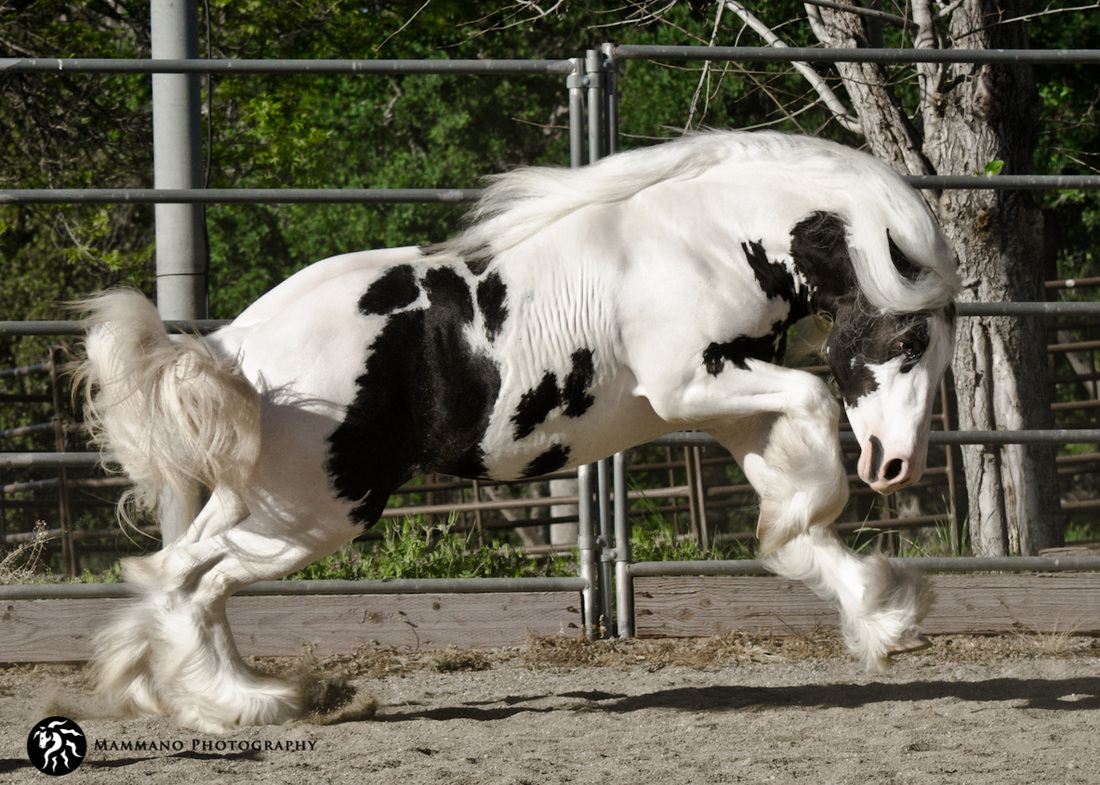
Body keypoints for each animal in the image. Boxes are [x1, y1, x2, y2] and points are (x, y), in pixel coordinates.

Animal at [79, 131, 954, 730]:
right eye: (911, 340)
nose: (898, 465)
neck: (706, 239)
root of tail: (236, 346)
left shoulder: (731, 403)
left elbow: (795, 517)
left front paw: (885, 616)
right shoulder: (692, 385)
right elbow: (814, 410)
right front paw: (852, 565)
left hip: (262, 504)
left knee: (172, 571)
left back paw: (179, 690)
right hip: (319, 515)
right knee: (199, 580)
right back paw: (245, 700)